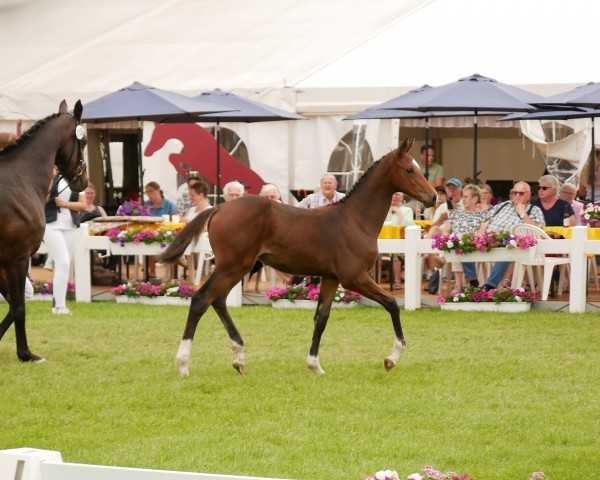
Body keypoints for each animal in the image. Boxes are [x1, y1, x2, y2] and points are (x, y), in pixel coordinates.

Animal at [0, 101, 88, 362]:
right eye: (84, 141)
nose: (84, 182)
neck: (20, 180)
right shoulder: (17, 260)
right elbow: (18, 307)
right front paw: (26, 354)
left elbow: (13, 305)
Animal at [162, 137, 436, 376]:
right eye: (409, 169)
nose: (432, 196)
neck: (355, 220)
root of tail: (218, 207)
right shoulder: (355, 278)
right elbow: (391, 304)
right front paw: (392, 358)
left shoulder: (331, 278)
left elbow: (321, 318)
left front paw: (315, 365)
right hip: (232, 267)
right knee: (201, 299)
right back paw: (183, 364)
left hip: (236, 268)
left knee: (217, 301)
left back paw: (239, 358)